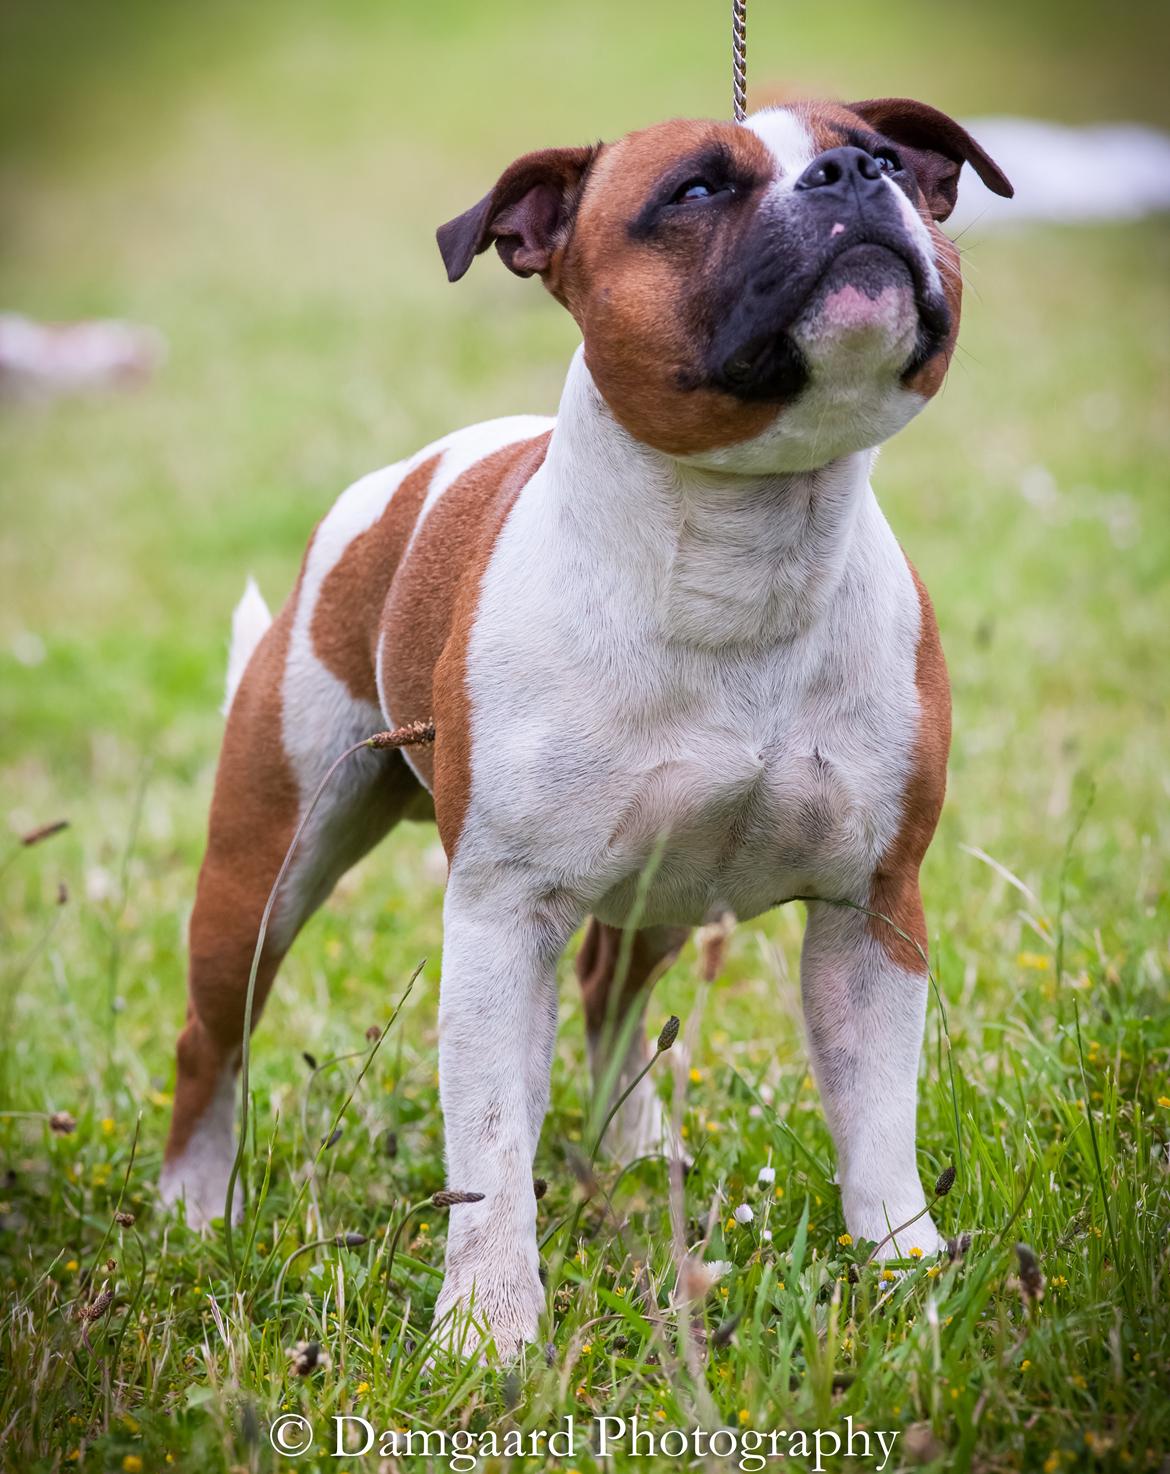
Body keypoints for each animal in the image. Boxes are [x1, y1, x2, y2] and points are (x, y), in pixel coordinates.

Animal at [159, 98, 1007, 1350]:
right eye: (696, 190)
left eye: (894, 157)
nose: (856, 172)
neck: (744, 545)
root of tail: (387, 493)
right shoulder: (502, 919)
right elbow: (490, 1152)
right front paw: (487, 1332)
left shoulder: (872, 912)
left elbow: (878, 1124)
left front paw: (905, 1271)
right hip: (264, 872)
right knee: (211, 1036)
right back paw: (190, 1206)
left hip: (662, 890)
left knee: (616, 996)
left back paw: (637, 1154)